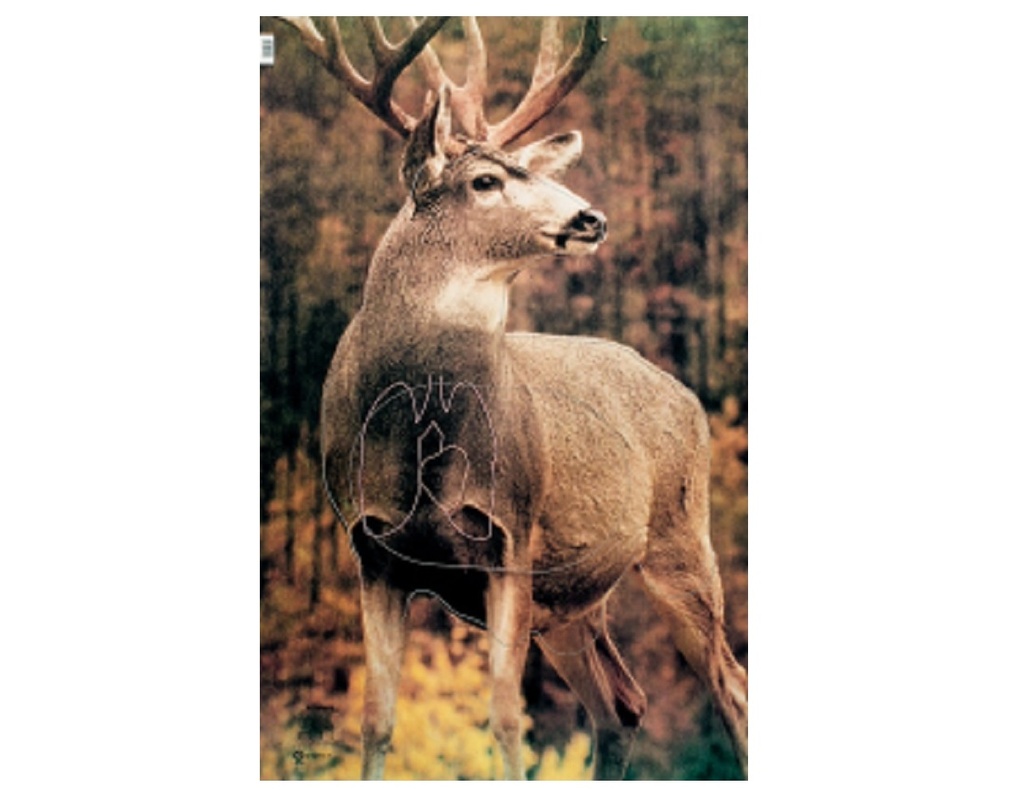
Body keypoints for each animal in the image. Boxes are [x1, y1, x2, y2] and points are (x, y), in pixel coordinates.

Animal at [275, 16, 748, 780]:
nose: (590, 218)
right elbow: (377, 721)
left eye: (538, 173)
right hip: (571, 601)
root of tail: (679, 389)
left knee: (731, 688)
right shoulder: (369, 549)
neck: (420, 449)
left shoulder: (511, 534)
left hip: (681, 535)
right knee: (622, 704)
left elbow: (503, 716)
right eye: (485, 180)